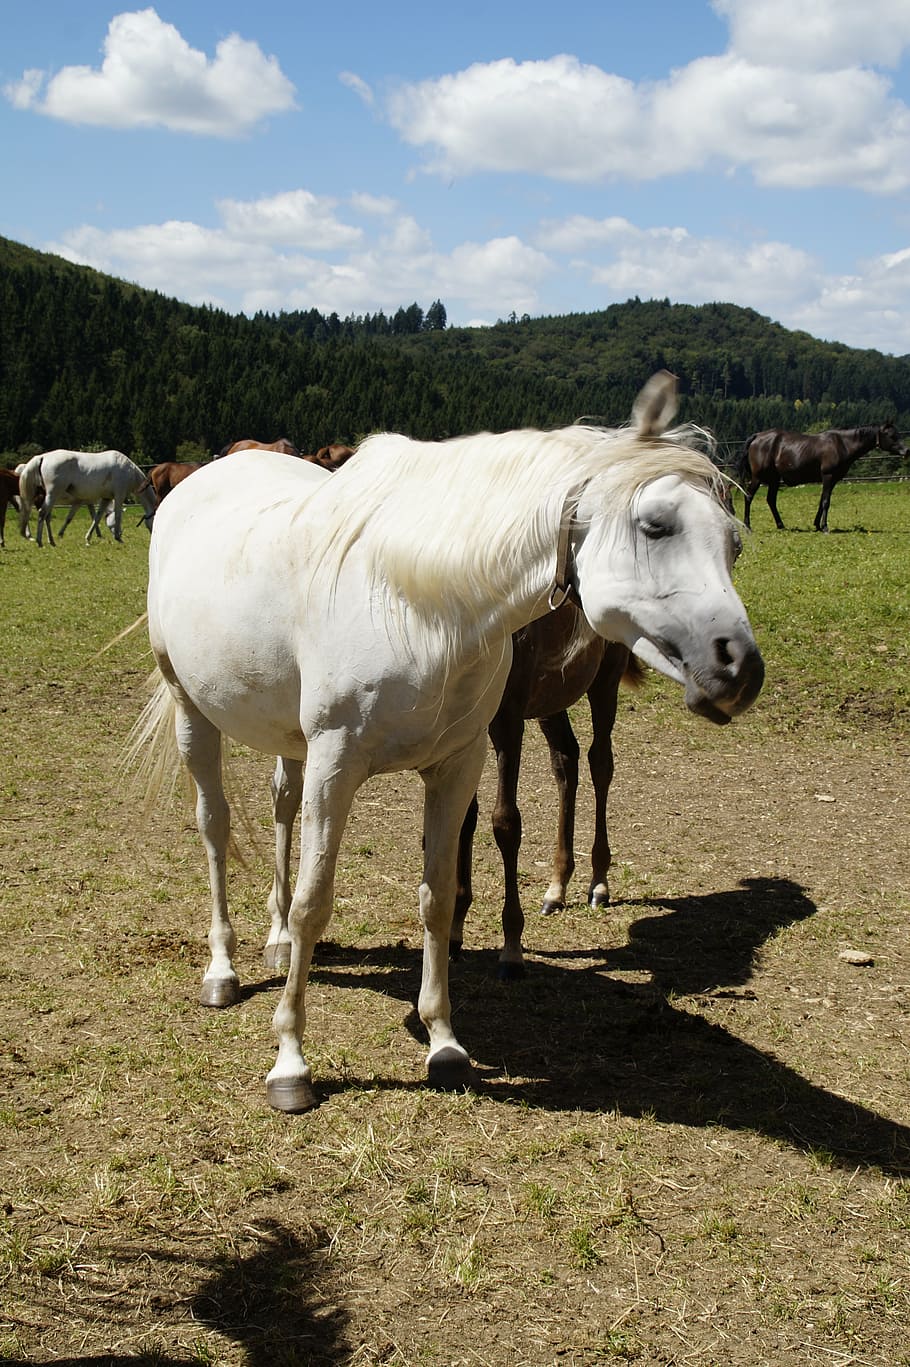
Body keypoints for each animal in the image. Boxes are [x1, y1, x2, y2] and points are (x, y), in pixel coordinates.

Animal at [18, 450, 157, 546]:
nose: (153, 537)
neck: (128, 471)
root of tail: (43, 457)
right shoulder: (119, 495)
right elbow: (117, 516)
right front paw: (118, 538)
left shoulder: (105, 498)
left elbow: (97, 518)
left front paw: (88, 538)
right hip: (52, 495)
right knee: (43, 514)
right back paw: (39, 541)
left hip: (51, 497)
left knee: (46, 516)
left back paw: (51, 541)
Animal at [451, 608, 643, 979]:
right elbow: (463, 817)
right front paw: (454, 929)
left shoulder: (508, 716)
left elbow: (506, 823)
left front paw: (512, 949)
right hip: (552, 697)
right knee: (566, 760)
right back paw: (557, 889)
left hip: (606, 677)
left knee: (601, 763)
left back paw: (599, 883)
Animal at [739, 422, 909, 531]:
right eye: (891, 436)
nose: (906, 450)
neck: (842, 444)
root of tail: (757, 437)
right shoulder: (828, 476)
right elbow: (826, 501)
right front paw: (825, 526)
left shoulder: (832, 480)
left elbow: (822, 501)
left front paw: (817, 525)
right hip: (758, 477)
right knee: (748, 496)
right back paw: (747, 525)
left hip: (774, 479)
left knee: (771, 500)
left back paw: (781, 525)